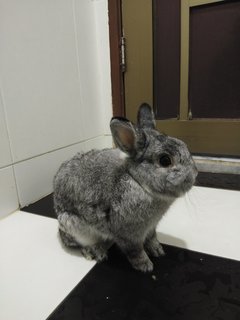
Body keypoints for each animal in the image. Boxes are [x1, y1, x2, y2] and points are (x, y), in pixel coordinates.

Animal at [53, 103, 198, 272]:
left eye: (184, 145)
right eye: (165, 160)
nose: (195, 173)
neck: (139, 183)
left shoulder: (151, 228)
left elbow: (152, 238)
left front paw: (158, 250)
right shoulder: (128, 235)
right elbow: (135, 251)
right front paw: (145, 265)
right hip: (75, 227)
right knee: (82, 244)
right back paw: (95, 253)